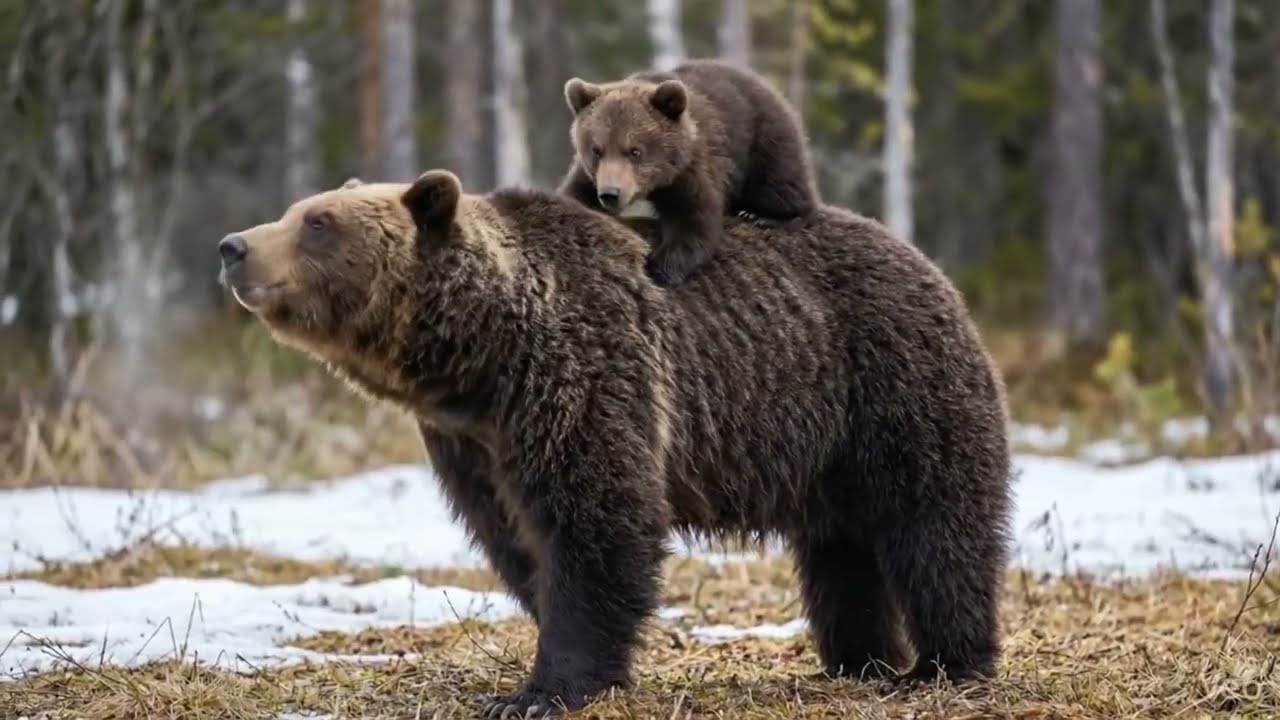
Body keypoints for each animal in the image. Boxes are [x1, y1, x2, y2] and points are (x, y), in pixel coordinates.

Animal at [216, 171, 1012, 718]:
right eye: (299, 210)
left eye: (318, 222)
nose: (233, 246)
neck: (484, 358)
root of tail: (926, 263)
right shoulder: (472, 443)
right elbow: (514, 539)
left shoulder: (584, 375)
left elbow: (595, 525)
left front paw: (540, 690)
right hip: (825, 454)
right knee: (841, 553)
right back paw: (859, 658)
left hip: (889, 386)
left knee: (935, 524)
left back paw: (945, 664)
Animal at [557, 58, 821, 288]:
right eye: (597, 150)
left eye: (635, 151)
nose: (610, 193)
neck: (651, 187)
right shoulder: (590, 176)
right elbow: (575, 194)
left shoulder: (690, 169)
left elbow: (694, 221)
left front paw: (659, 269)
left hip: (763, 138)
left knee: (780, 182)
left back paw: (765, 216)